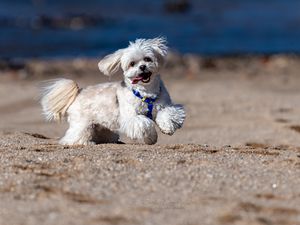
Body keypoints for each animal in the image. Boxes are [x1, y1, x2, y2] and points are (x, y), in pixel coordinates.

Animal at [39, 37, 185, 145]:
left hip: (103, 126)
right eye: (132, 64)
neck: (146, 92)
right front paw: (151, 137)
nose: (142, 67)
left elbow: (167, 115)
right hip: (81, 123)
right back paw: (82, 142)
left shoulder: (165, 105)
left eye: (147, 59)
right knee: (74, 136)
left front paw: (167, 128)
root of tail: (78, 92)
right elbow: (145, 124)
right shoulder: (131, 118)